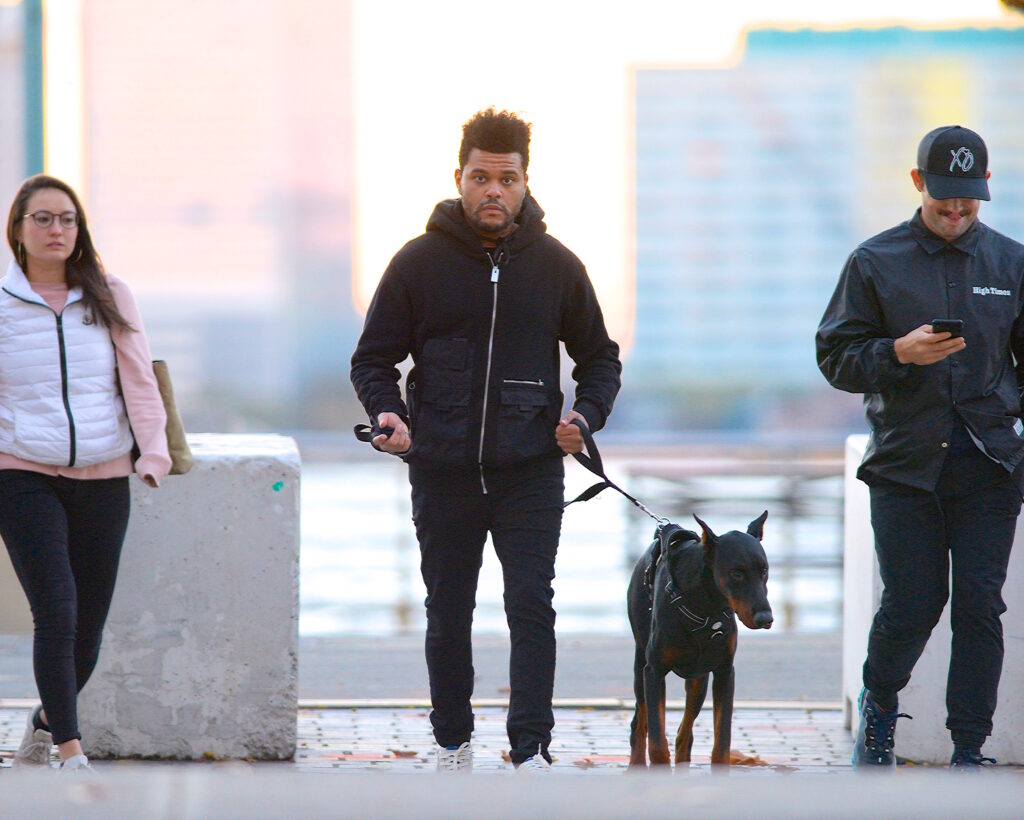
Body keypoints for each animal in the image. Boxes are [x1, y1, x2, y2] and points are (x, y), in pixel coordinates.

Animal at [626, 511, 770, 769]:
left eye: (764, 570)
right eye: (737, 572)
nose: (766, 618)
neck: (705, 607)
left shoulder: (724, 671)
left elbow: (722, 742)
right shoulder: (654, 670)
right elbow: (657, 742)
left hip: (698, 679)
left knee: (685, 732)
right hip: (640, 664)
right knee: (640, 720)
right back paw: (637, 762)